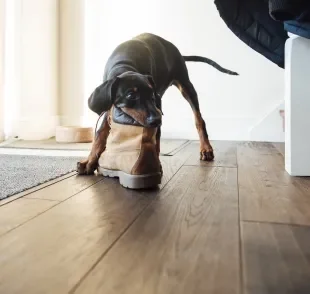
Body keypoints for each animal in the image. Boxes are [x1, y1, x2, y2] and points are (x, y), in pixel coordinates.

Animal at [77, 32, 237, 175]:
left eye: (152, 95)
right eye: (131, 95)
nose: (156, 120)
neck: (125, 65)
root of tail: (177, 51)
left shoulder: (157, 105)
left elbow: (156, 139)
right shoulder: (110, 107)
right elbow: (100, 134)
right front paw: (89, 162)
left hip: (186, 86)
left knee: (199, 119)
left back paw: (206, 148)